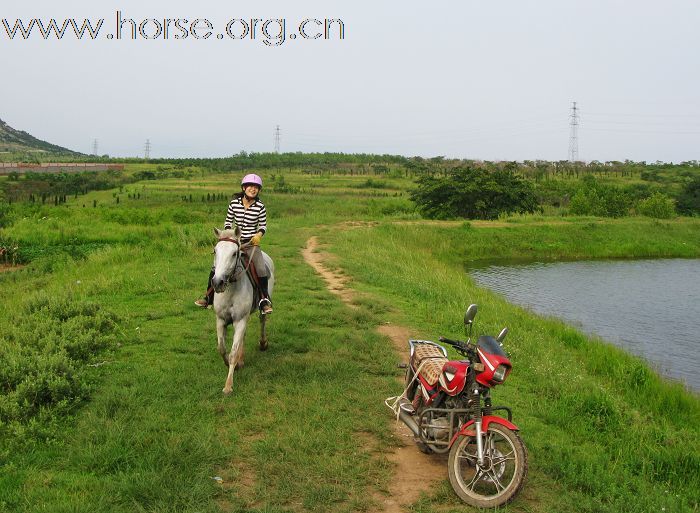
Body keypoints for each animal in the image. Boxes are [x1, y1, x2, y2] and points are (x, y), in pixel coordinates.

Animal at [211, 226, 274, 394]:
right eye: (215, 251)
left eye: (234, 253)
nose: (218, 282)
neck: (231, 288)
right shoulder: (221, 320)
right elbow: (221, 348)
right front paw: (231, 363)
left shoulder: (240, 320)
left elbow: (232, 352)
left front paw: (228, 386)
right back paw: (242, 359)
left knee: (262, 320)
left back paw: (263, 343)